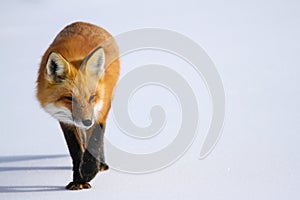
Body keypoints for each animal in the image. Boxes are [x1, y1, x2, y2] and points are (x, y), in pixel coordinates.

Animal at [35, 21, 119, 189]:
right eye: (70, 98)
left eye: (92, 97)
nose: (87, 121)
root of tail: (85, 23)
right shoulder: (66, 121)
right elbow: (76, 151)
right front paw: (78, 181)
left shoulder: (99, 112)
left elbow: (94, 141)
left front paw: (88, 172)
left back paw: (101, 164)